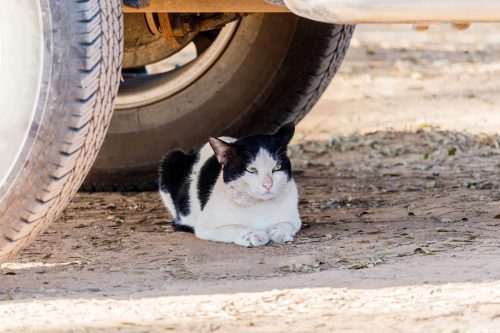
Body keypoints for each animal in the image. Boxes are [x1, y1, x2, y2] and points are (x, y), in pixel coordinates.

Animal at [160, 122, 300, 246]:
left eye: (277, 167)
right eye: (251, 169)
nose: (268, 184)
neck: (259, 206)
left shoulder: (295, 220)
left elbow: (286, 224)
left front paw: (278, 231)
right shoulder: (205, 226)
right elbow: (235, 226)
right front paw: (253, 234)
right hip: (170, 158)